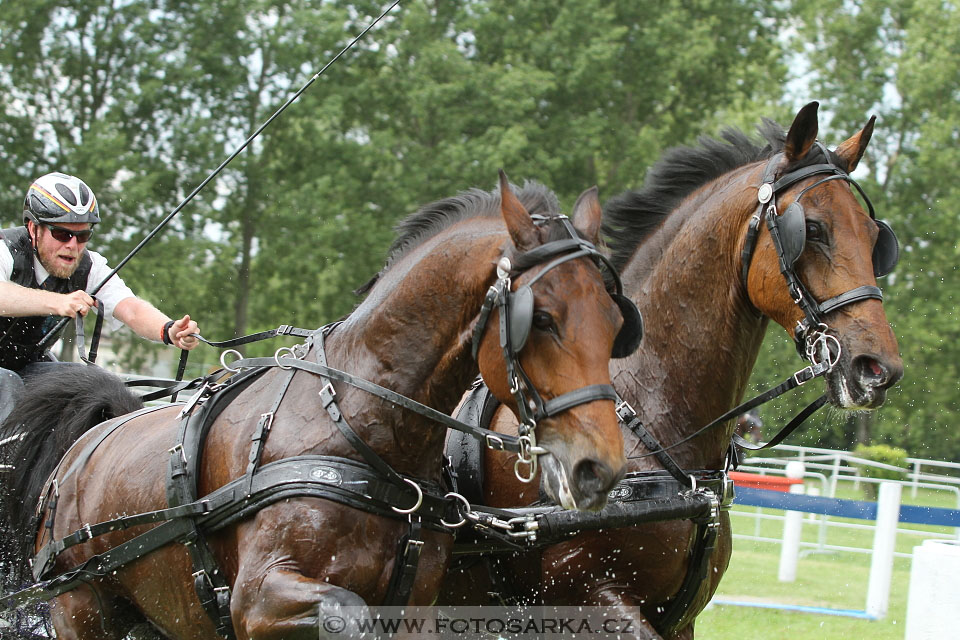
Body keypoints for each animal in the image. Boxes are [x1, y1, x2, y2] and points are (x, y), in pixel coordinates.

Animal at [1, 174, 632, 640]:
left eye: (616, 320)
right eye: (541, 318)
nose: (599, 467)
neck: (364, 431)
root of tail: (85, 446)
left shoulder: (418, 605)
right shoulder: (257, 603)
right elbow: (347, 615)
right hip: (81, 610)